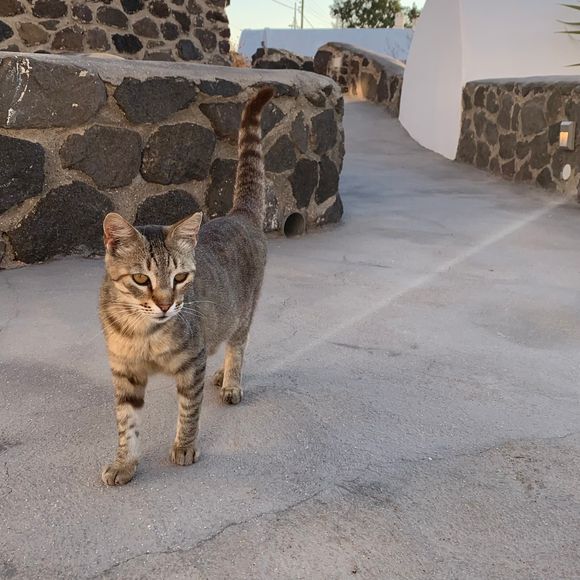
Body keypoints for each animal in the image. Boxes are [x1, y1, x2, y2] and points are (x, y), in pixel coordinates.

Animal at [99, 87, 274, 486]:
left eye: (180, 277)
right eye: (141, 279)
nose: (166, 304)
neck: (144, 332)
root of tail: (239, 215)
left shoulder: (192, 363)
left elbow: (189, 411)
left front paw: (184, 446)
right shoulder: (125, 372)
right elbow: (127, 423)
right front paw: (125, 463)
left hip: (245, 310)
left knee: (238, 345)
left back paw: (231, 381)